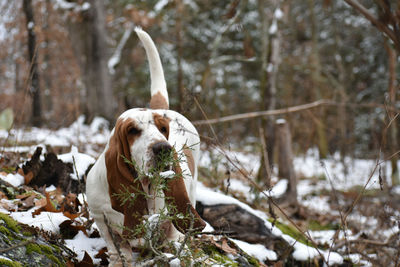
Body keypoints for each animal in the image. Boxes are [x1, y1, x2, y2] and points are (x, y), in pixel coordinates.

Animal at [86, 28, 205, 266]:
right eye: (132, 130)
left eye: (163, 128)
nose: (163, 148)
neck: (145, 187)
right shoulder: (100, 218)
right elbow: (117, 249)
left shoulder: (171, 229)